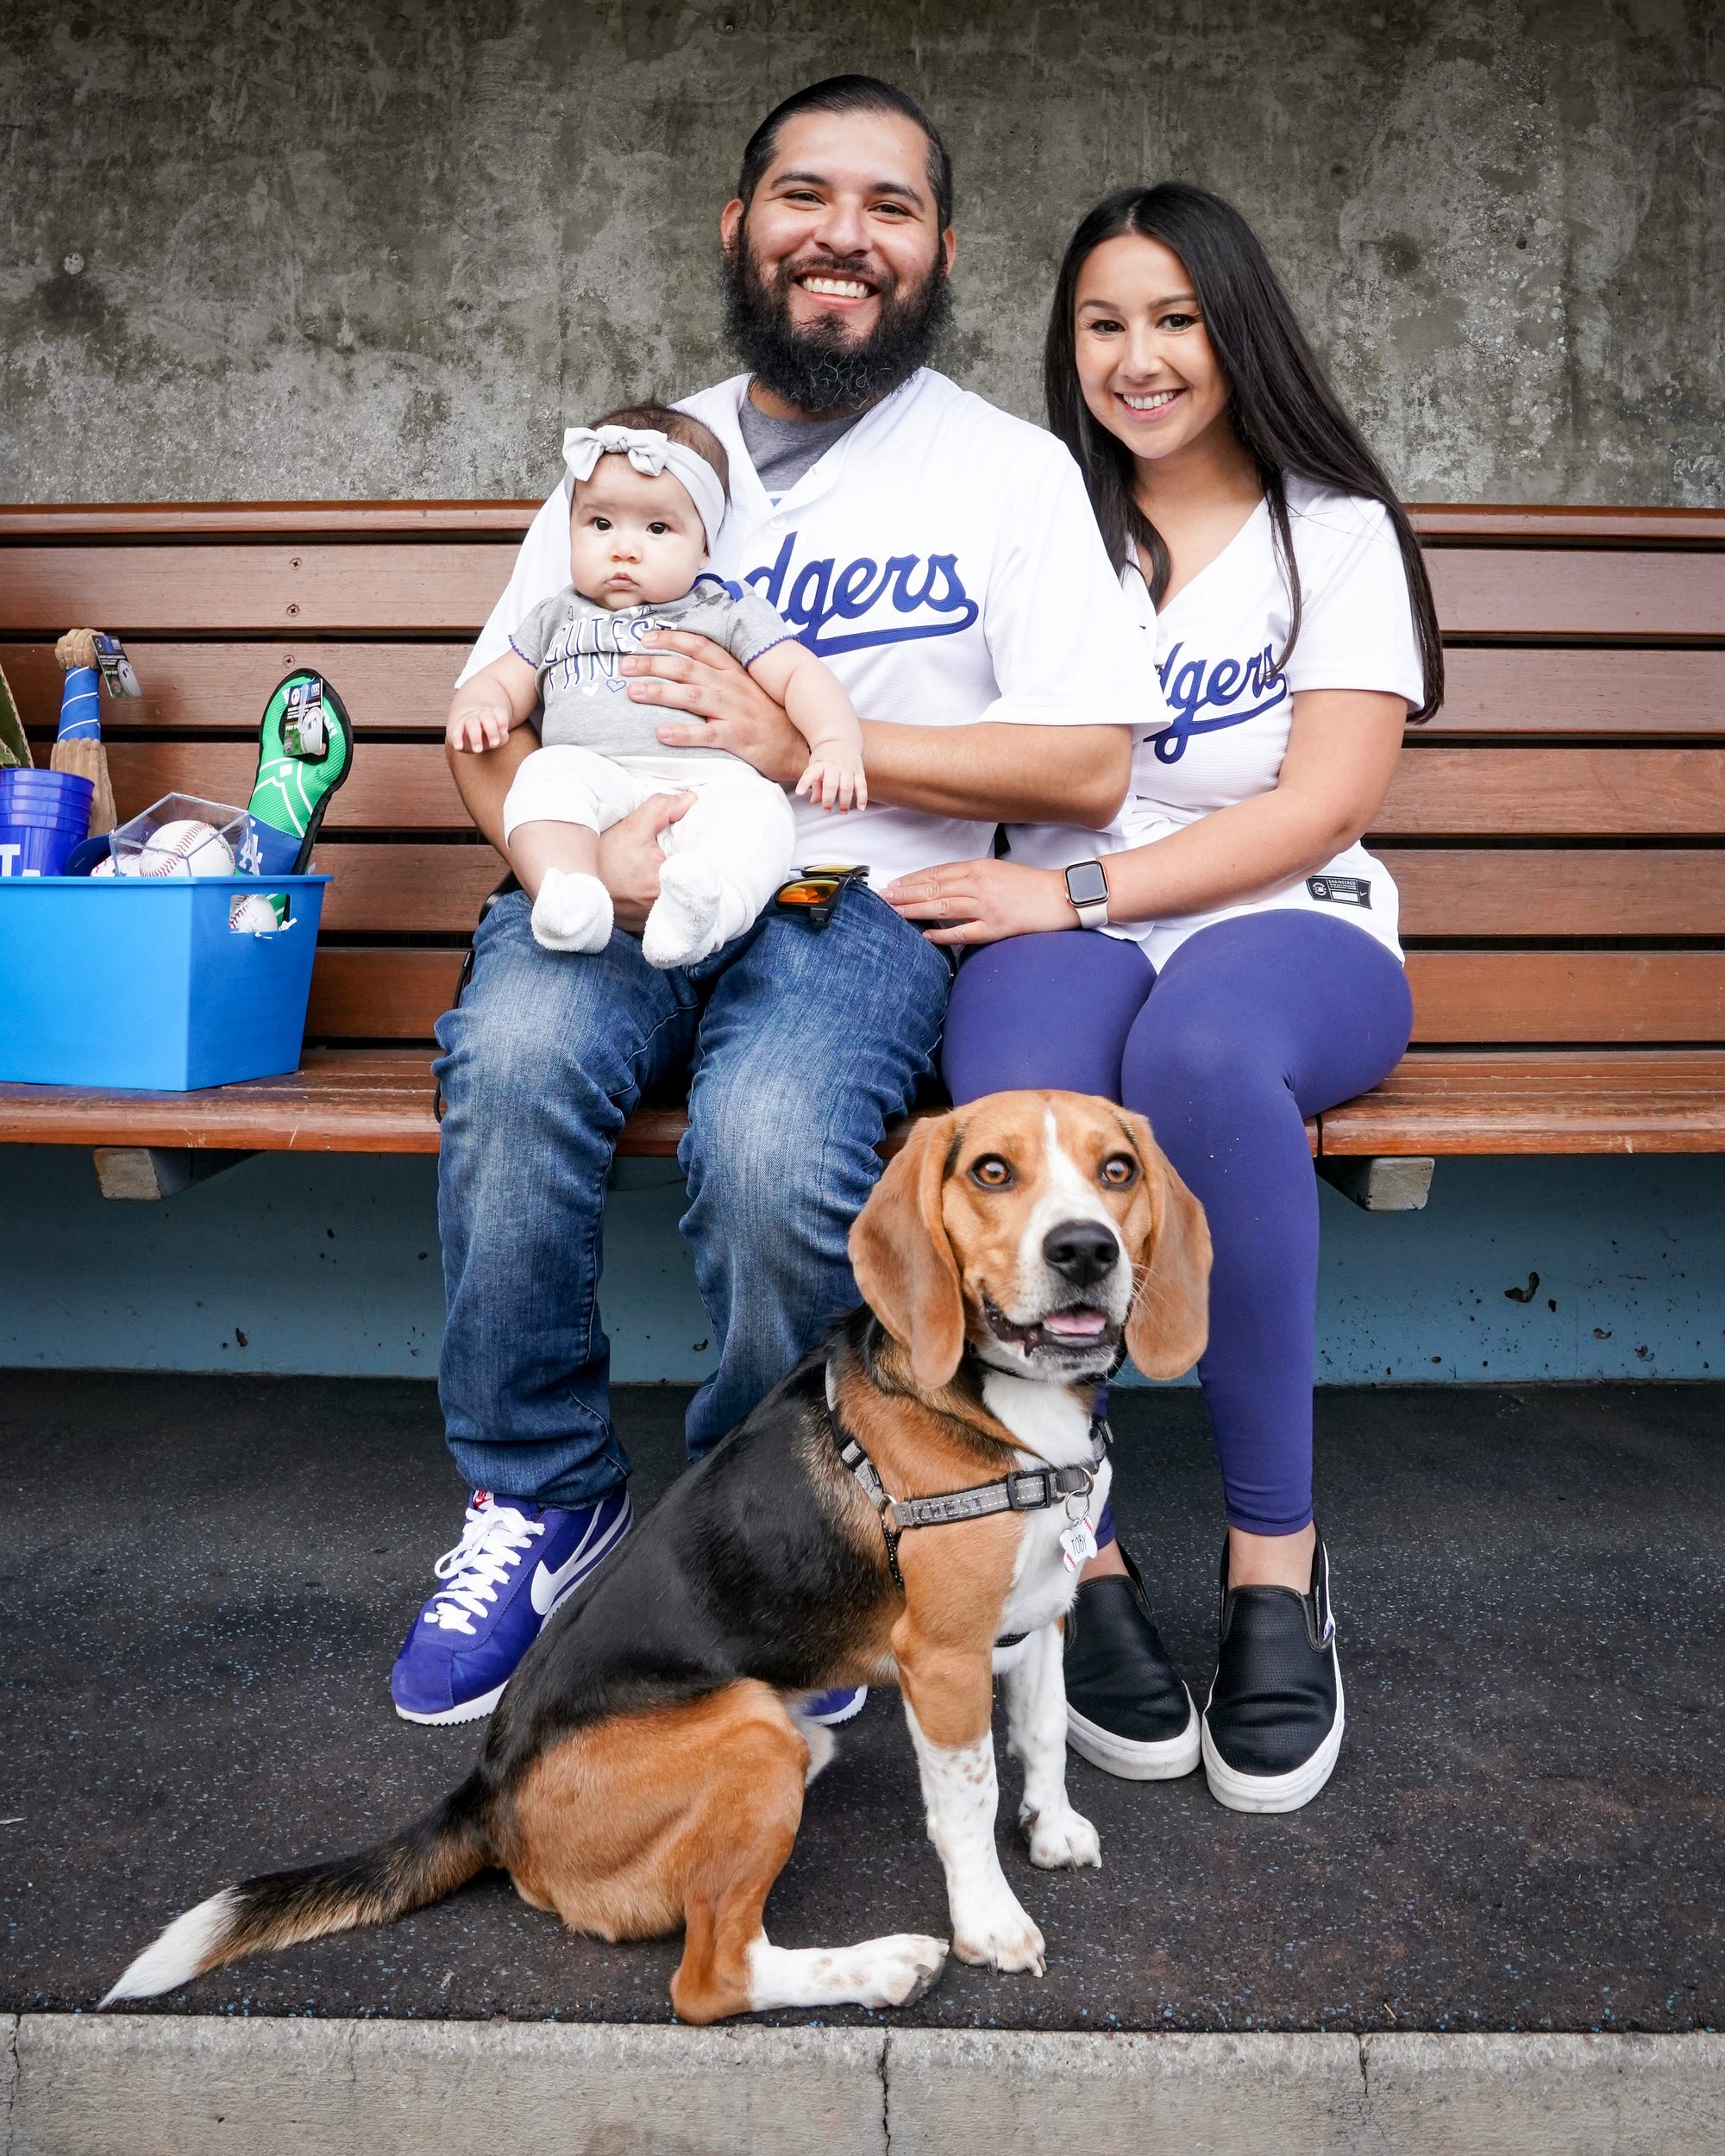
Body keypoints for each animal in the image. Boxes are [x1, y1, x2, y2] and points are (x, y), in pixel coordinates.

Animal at [104, 1095, 1216, 2018]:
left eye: (1116, 1169)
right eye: (991, 1171)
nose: (1084, 1249)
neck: (1009, 1411)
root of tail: (488, 1793)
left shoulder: (1040, 1612)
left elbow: (1040, 1732)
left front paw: (1053, 1827)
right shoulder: (942, 1657)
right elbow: (967, 1796)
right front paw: (989, 1921)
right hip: (746, 1733)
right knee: (710, 1977)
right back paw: (882, 1963)